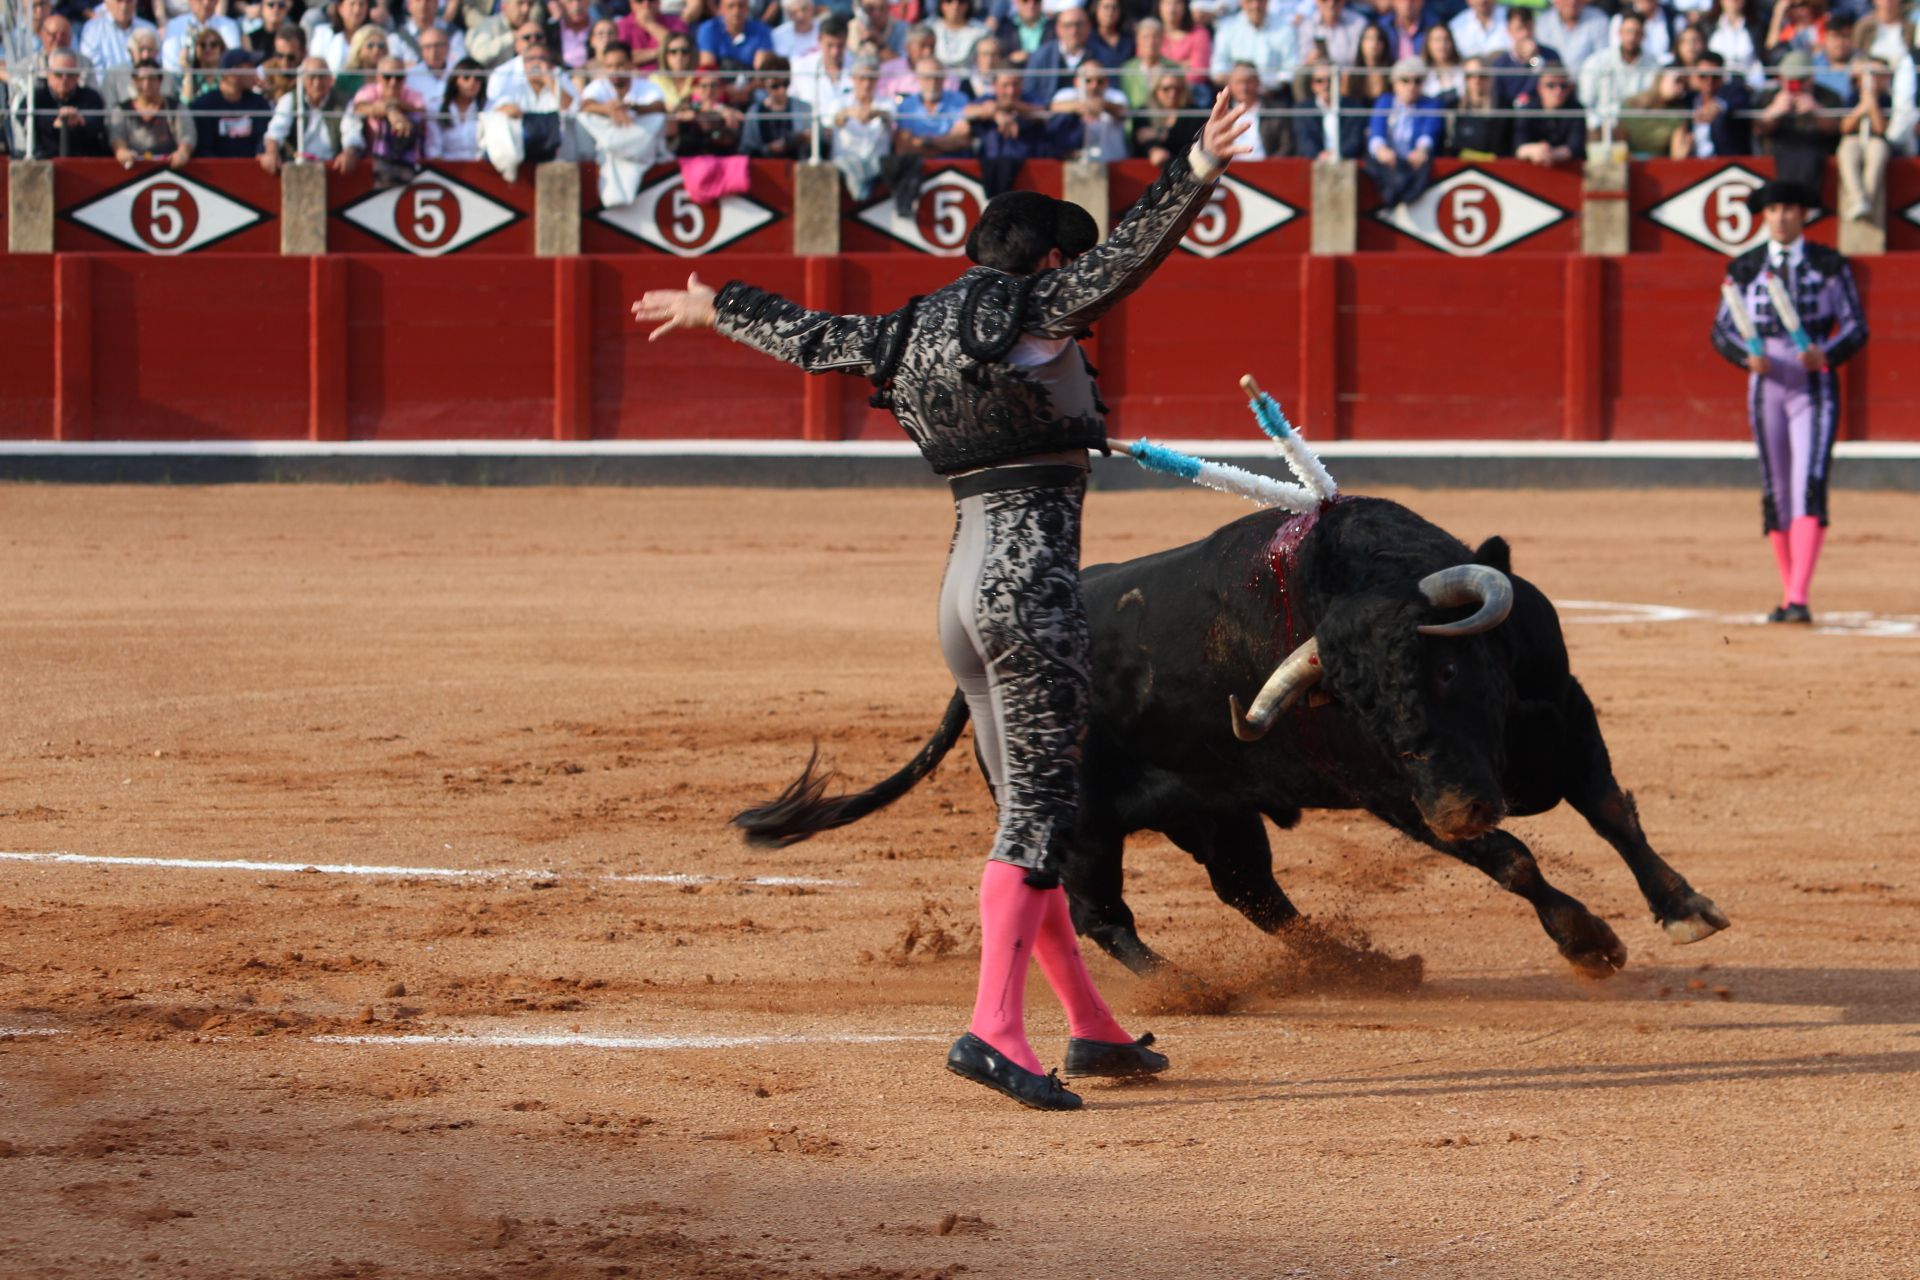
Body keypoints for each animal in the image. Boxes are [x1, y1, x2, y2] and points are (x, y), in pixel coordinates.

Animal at [733, 495, 1728, 974]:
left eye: (1445, 669)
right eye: (1356, 706)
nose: (1458, 810)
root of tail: (983, 669)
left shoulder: (1566, 712)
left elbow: (1612, 811)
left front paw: (1683, 908)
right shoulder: (1389, 790)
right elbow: (1515, 860)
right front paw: (1590, 943)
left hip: (1215, 813)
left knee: (1254, 894)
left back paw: (1362, 965)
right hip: (1081, 824)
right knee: (1102, 913)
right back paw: (1181, 986)